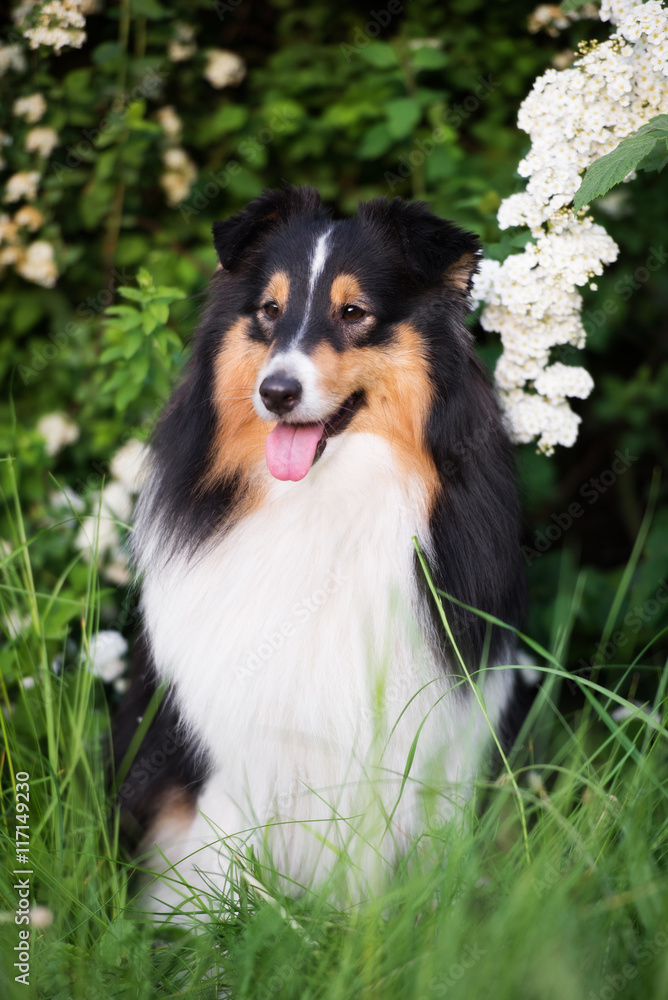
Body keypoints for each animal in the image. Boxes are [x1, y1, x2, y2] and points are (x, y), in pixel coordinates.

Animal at [115, 184, 528, 916]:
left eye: (354, 312)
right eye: (269, 312)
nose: (276, 392)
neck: (322, 499)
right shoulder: (234, 748)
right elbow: (227, 870)